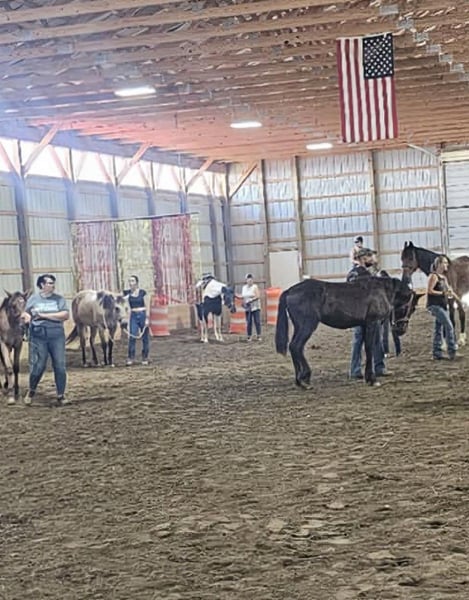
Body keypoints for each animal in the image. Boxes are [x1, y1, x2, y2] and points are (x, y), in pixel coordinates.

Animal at [275, 277, 416, 387]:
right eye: (409, 307)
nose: (401, 329)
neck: (382, 291)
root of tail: (290, 291)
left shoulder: (364, 325)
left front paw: (368, 377)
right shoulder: (373, 323)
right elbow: (370, 348)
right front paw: (372, 379)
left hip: (299, 326)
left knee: (293, 347)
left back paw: (300, 380)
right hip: (307, 325)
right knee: (296, 346)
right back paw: (304, 378)